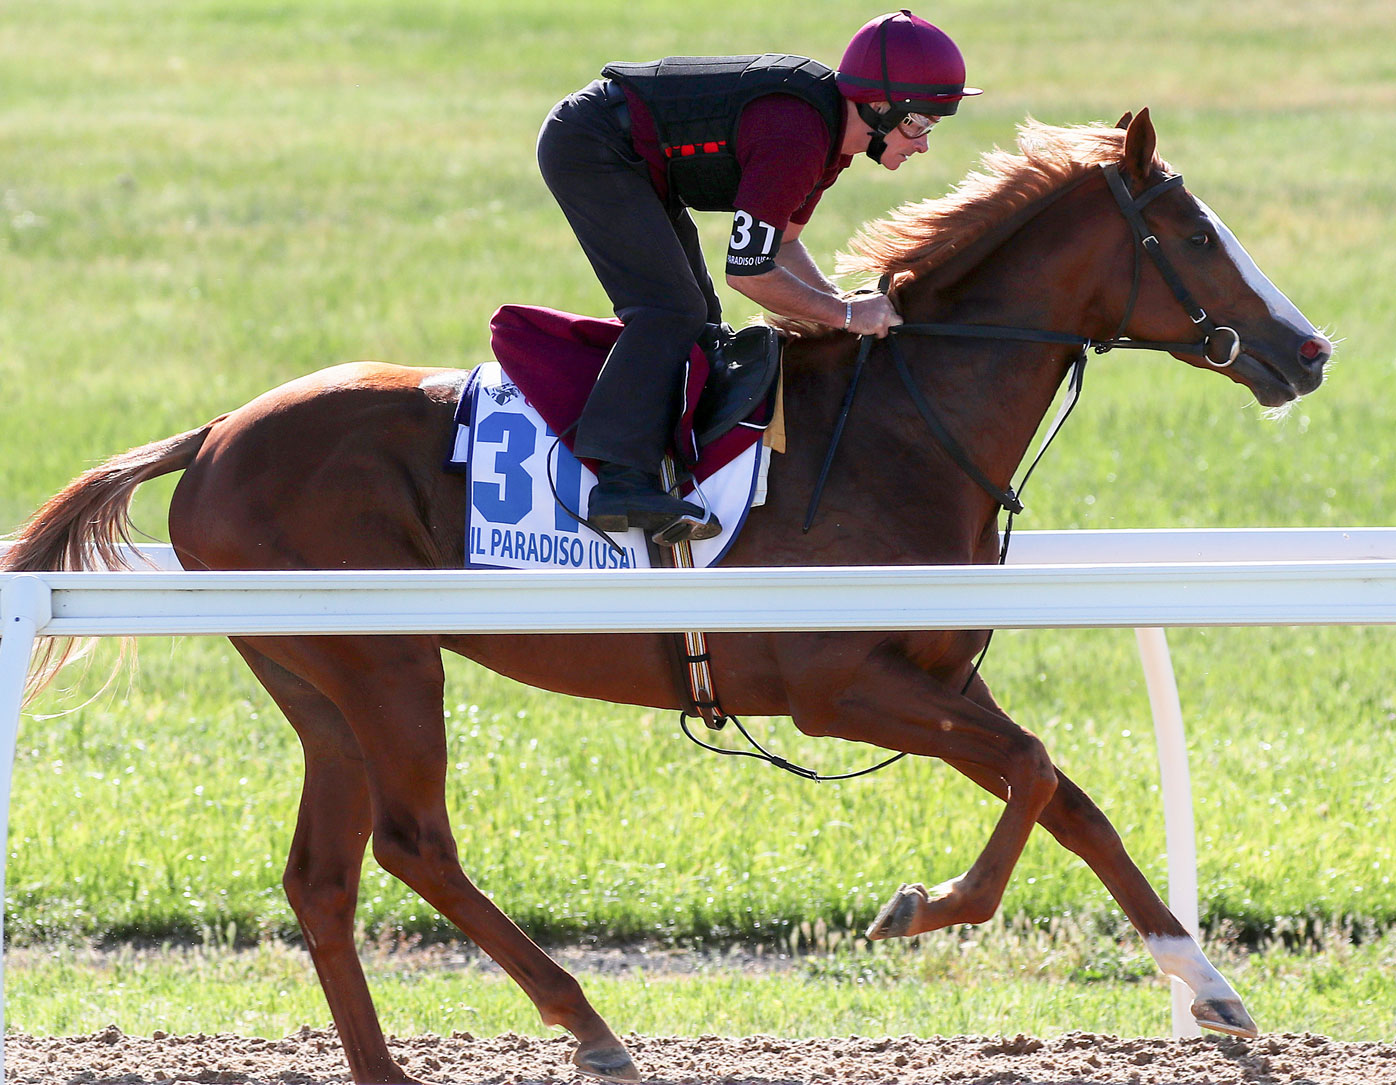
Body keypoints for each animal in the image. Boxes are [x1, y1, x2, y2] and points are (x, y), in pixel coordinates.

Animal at [3, 110, 1330, 1084]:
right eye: (1195, 235)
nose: (1309, 351)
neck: (902, 426)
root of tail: (218, 430)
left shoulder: (933, 673)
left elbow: (1070, 795)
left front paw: (1210, 986)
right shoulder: (837, 685)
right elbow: (1035, 770)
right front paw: (924, 905)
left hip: (315, 674)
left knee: (324, 876)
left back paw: (394, 1066)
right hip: (384, 660)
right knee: (413, 840)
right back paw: (585, 1021)